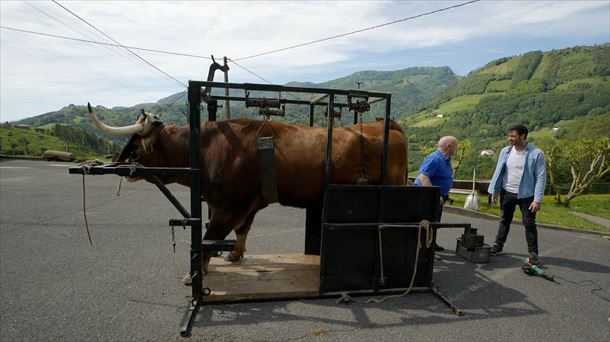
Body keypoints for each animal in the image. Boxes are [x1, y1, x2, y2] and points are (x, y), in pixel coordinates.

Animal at [88, 104, 406, 276]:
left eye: (137, 145)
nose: (120, 162)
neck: (208, 148)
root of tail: (384, 122)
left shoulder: (229, 206)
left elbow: (209, 238)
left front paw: (196, 274)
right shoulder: (248, 203)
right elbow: (241, 231)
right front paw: (235, 256)